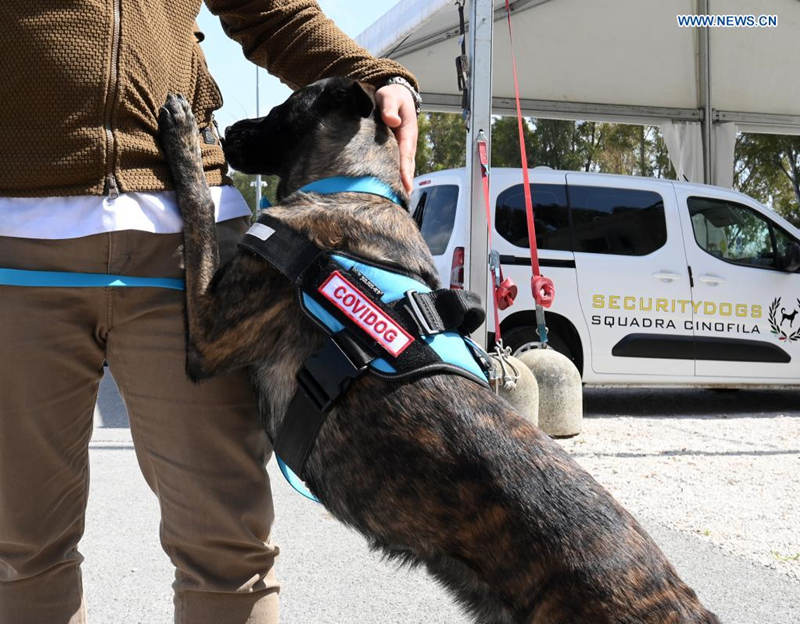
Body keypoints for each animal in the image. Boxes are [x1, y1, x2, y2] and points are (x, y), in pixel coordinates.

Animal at [159, 79, 720, 624]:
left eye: (284, 107)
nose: (226, 130)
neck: (351, 184)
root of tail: (689, 608)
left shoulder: (208, 337)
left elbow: (199, 212)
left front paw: (182, 140)